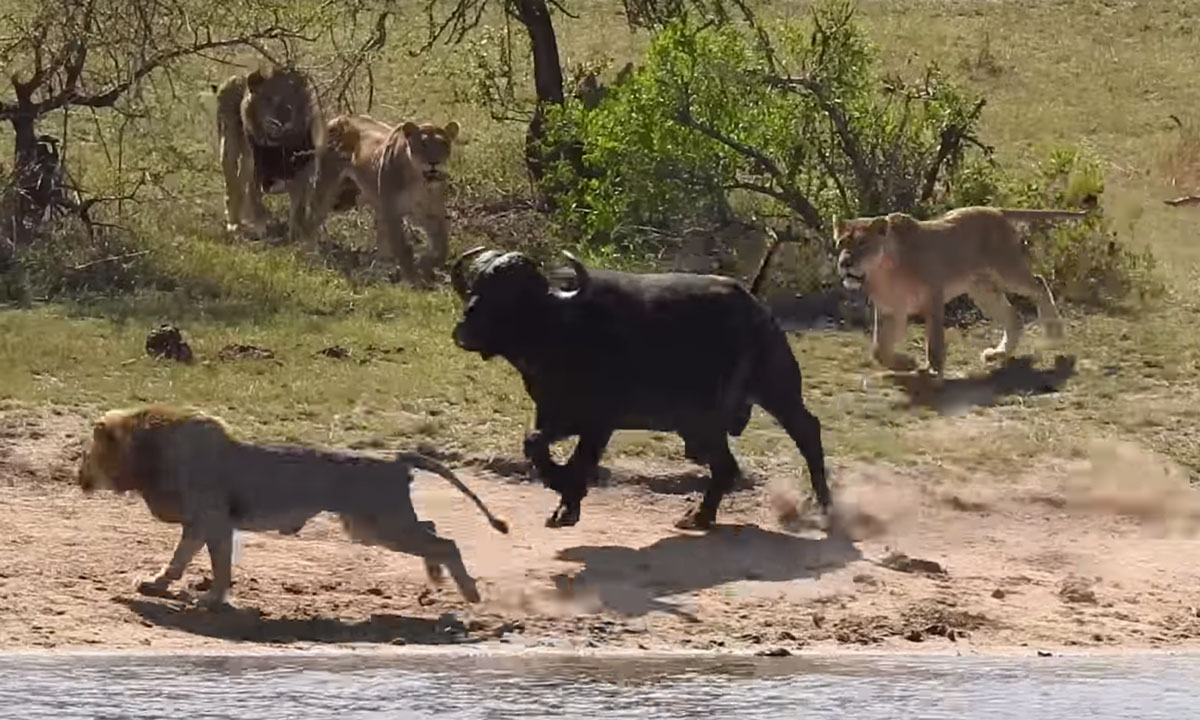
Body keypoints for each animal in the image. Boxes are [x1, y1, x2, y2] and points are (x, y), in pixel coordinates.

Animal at [75, 405, 506, 607]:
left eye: (87, 454)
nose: (78, 476)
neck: (148, 450)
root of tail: (395, 458)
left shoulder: (214, 520)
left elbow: (218, 564)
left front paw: (212, 600)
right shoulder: (199, 523)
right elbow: (180, 558)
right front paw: (155, 584)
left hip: (377, 524)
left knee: (445, 541)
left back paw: (469, 594)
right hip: (374, 526)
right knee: (432, 529)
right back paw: (436, 578)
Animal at [302, 113, 460, 284]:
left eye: (444, 143)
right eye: (423, 144)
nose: (434, 163)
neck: (419, 181)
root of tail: (338, 118)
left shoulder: (430, 212)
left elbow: (442, 248)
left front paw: (424, 264)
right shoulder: (393, 212)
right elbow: (402, 247)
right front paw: (413, 278)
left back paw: (384, 266)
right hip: (327, 188)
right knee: (311, 218)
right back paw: (308, 251)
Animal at [446, 247, 830, 528]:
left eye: (513, 294)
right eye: (477, 286)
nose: (465, 329)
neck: (563, 330)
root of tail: (757, 307)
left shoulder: (599, 420)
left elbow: (580, 460)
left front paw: (567, 502)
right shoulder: (553, 413)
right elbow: (534, 443)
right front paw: (560, 488)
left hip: (776, 388)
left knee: (806, 431)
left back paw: (823, 503)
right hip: (700, 423)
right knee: (726, 467)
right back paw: (700, 516)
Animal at [835, 205, 1089, 376]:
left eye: (862, 244)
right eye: (841, 243)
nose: (845, 263)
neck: (883, 272)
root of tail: (995, 209)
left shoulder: (933, 295)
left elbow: (934, 340)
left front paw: (934, 369)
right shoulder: (891, 310)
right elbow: (878, 349)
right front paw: (906, 364)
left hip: (1008, 270)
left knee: (1039, 283)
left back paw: (1054, 333)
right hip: (983, 290)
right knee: (1014, 316)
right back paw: (998, 353)